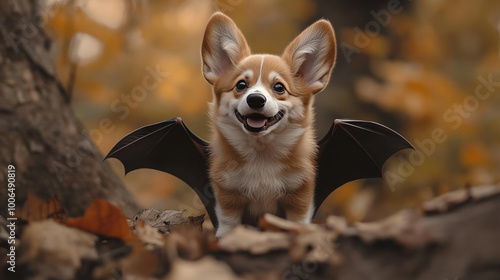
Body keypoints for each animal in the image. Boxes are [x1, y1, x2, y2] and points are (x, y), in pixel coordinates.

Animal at [201, 12, 338, 236]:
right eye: (241, 85)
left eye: (279, 87)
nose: (256, 99)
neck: (261, 154)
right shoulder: (228, 192)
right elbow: (228, 222)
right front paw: (224, 238)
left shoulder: (299, 192)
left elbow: (298, 222)